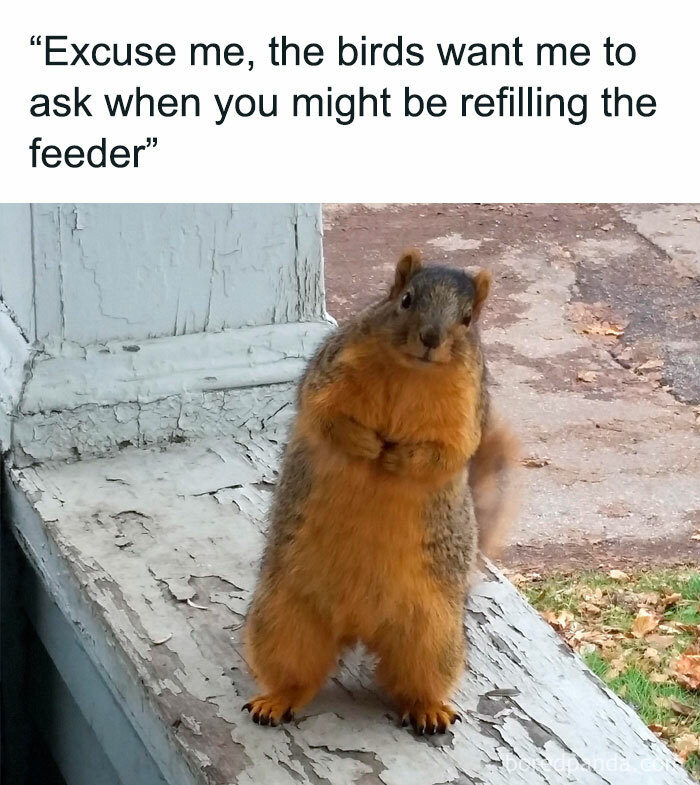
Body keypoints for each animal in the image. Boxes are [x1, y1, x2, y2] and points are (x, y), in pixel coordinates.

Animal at [243, 248, 519, 734]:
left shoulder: (466, 410)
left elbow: (448, 452)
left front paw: (397, 460)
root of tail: (358, 626)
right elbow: (325, 415)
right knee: (297, 674)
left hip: (432, 635)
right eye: (405, 300)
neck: (412, 372)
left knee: (413, 680)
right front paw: (367, 445)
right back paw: (276, 700)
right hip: (282, 616)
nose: (431, 338)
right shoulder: (331, 371)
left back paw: (428, 709)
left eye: (468, 319)